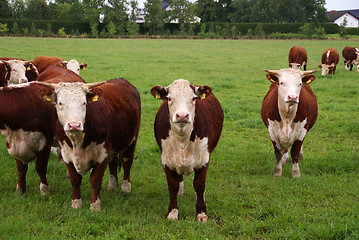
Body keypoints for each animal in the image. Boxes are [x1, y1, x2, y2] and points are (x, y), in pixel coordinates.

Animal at [0, 65, 84, 195]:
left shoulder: (44, 141)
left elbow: (40, 167)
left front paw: (44, 190)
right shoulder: (15, 141)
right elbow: (21, 168)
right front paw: (20, 189)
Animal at [36, 78, 141, 210]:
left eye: (84, 103)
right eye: (60, 103)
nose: (74, 125)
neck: (77, 141)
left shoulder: (102, 154)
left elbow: (95, 180)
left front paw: (95, 206)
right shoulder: (66, 154)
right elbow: (75, 179)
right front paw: (76, 203)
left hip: (132, 140)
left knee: (127, 161)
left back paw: (125, 187)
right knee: (113, 162)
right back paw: (112, 186)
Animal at [150, 79, 224, 222]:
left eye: (194, 98)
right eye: (169, 98)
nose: (182, 115)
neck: (182, 138)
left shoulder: (204, 159)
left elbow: (199, 185)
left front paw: (201, 213)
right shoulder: (166, 160)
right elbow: (172, 186)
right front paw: (173, 212)